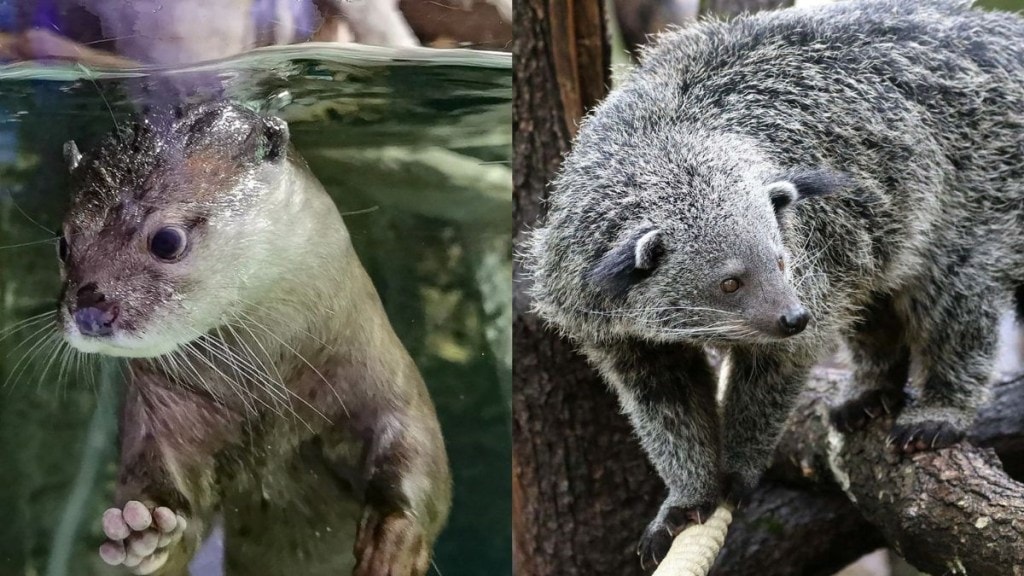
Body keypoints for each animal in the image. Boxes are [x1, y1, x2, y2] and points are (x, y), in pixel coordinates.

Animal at [58, 102, 450, 575]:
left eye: (167, 240)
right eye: (63, 243)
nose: (89, 311)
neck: (273, 401)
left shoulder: (380, 372)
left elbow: (418, 450)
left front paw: (393, 542)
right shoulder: (165, 416)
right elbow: (163, 485)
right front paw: (144, 531)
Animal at [525, 0, 1024, 567]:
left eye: (781, 262)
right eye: (730, 282)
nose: (793, 316)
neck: (665, 138)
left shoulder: (811, 256)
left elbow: (775, 371)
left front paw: (741, 467)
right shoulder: (611, 326)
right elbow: (664, 405)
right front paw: (688, 494)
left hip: (980, 187)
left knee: (956, 298)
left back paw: (941, 407)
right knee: (875, 299)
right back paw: (872, 385)